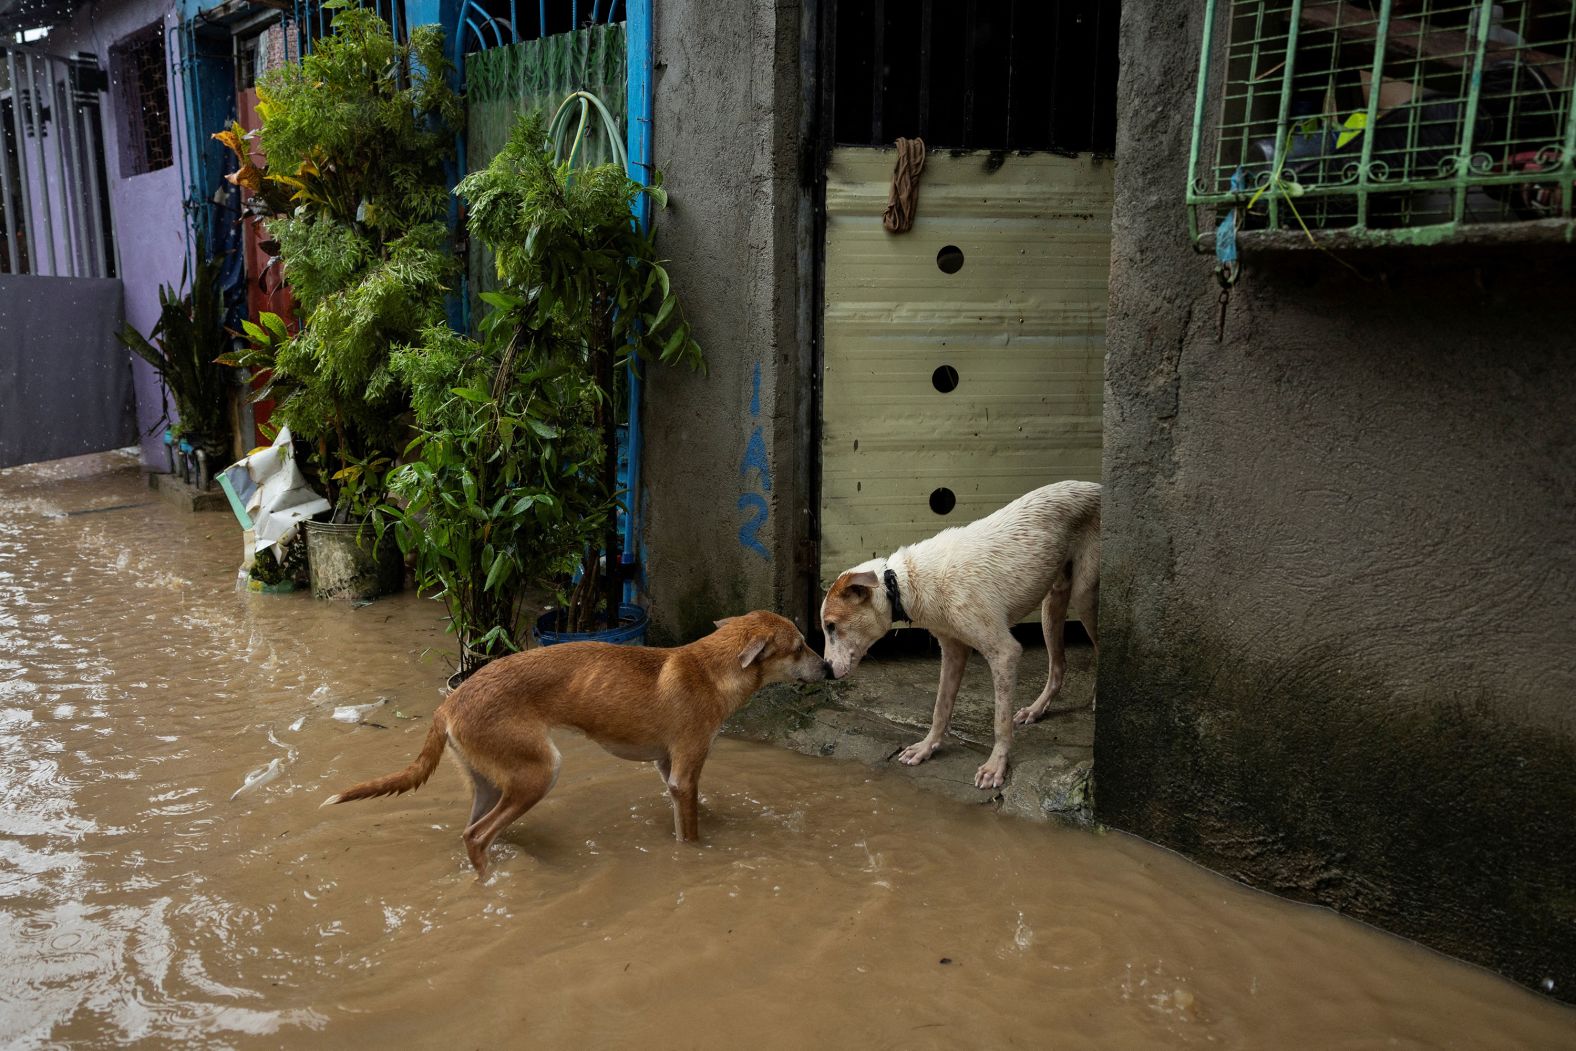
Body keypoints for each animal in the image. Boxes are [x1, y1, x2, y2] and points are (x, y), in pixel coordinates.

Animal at [316, 611, 825, 876]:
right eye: (800, 645)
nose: (829, 668)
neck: (712, 668)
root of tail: (451, 700)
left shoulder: (670, 771)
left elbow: (693, 809)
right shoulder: (684, 771)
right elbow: (692, 830)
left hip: (490, 783)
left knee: (470, 832)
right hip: (540, 772)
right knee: (478, 835)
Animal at [819, 482, 1103, 784]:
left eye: (831, 626)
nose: (825, 670)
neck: (903, 584)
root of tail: (1096, 486)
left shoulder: (1004, 653)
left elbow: (1000, 721)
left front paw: (996, 765)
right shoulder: (953, 649)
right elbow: (940, 708)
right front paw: (926, 748)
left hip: (1084, 597)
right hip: (1052, 604)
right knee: (1058, 667)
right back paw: (1036, 710)